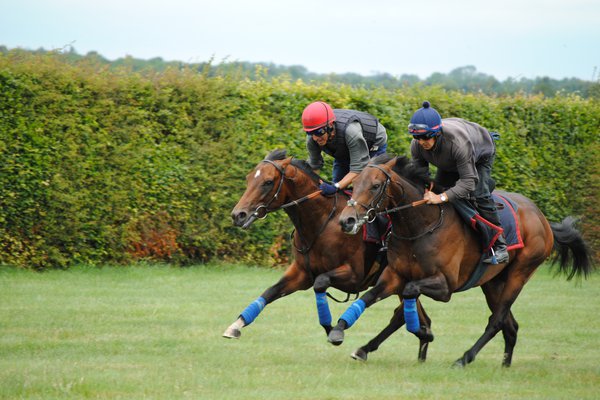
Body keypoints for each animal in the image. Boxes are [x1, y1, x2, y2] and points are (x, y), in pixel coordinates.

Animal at [223, 148, 434, 360]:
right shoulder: (301, 273)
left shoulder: (353, 275)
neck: (323, 220)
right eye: (249, 178)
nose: (238, 215)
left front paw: (333, 329)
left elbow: (321, 282)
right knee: (409, 316)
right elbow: (270, 291)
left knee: (404, 315)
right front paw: (236, 325)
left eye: (267, 182)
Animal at [330, 155, 592, 368]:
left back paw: (464, 358)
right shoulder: (394, 275)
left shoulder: (445, 286)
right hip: (493, 283)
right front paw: (340, 331)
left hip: (520, 273)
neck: (420, 224)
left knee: (496, 321)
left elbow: (409, 292)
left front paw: (422, 332)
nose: (347, 220)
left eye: (375, 186)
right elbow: (369, 297)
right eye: (354, 184)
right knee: (510, 325)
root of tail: (543, 218)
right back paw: (505, 365)